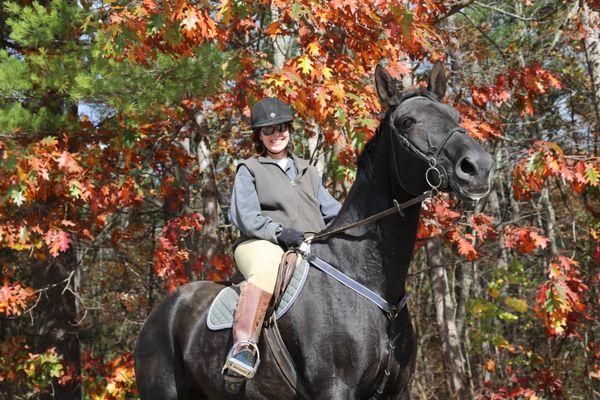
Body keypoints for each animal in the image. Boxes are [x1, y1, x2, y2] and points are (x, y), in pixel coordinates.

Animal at [135, 62, 492, 396]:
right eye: (407, 122)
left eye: (454, 115)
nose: (478, 167)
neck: (371, 280)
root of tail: (161, 311)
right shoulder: (335, 388)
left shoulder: (398, 391)